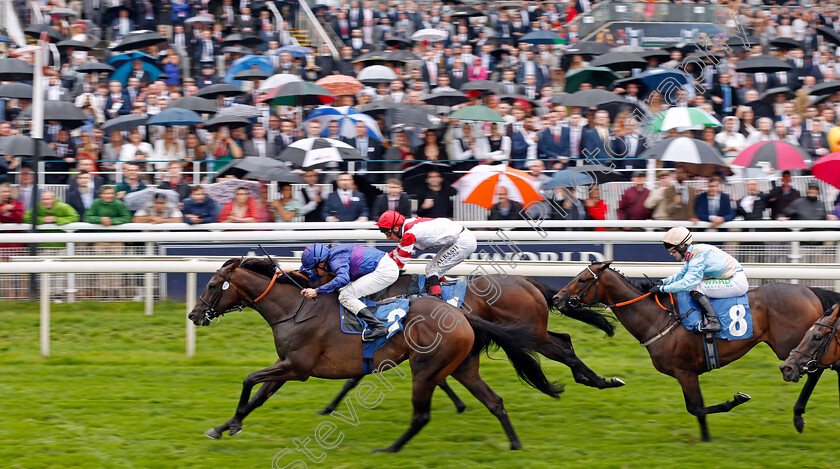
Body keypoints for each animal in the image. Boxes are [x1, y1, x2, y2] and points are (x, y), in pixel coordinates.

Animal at [187, 258, 560, 452]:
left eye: (211, 285)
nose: (194, 315)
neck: (294, 309)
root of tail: (459, 314)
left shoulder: (297, 367)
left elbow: (249, 379)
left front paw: (232, 424)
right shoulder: (287, 365)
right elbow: (258, 396)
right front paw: (224, 426)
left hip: (426, 369)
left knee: (422, 415)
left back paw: (390, 450)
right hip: (464, 367)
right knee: (494, 400)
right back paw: (514, 444)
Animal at [318, 274, 628, 414]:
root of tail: (527, 282)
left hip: (533, 334)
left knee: (564, 351)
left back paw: (601, 381)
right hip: (534, 332)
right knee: (565, 340)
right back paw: (587, 379)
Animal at [552, 260, 840, 438]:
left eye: (581, 280)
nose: (556, 297)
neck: (657, 318)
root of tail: (809, 290)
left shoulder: (684, 370)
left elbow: (697, 408)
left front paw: (734, 403)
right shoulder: (686, 372)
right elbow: (697, 407)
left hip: (794, 346)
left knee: (813, 369)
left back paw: (798, 416)